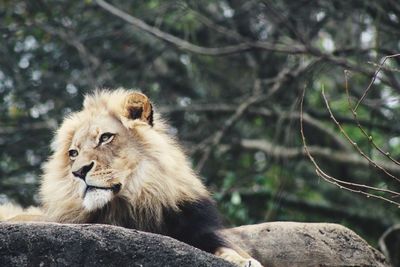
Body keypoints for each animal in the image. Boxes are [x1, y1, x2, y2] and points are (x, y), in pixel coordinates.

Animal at [2, 90, 262, 267]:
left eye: (105, 137)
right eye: (73, 153)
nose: (79, 172)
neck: (135, 201)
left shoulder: (195, 229)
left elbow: (227, 248)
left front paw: (244, 261)